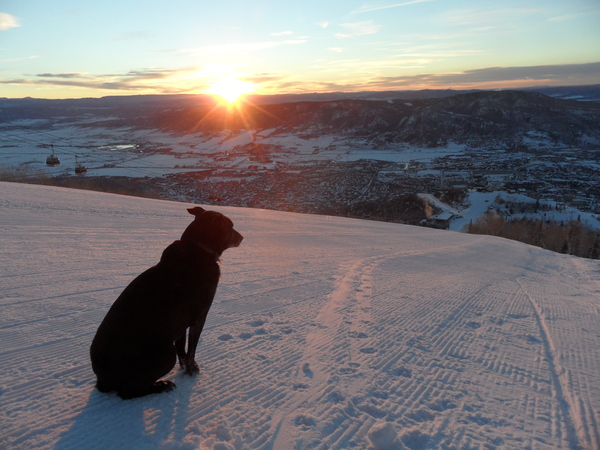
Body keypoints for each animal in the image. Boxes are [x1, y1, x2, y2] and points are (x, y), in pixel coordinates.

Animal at [88, 206, 241, 400]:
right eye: (230, 226)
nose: (242, 237)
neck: (198, 247)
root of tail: (102, 380)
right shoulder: (199, 316)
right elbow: (191, 349)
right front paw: (192, 370)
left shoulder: (180, 324)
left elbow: (182, 349)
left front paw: (184, 368)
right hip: (166, 354)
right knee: (128, 392)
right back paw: (162, 386)